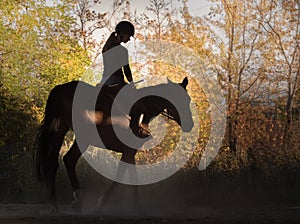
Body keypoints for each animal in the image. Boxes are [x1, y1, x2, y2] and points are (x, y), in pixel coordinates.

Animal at [35, 77, 193, 214]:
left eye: (188, 99)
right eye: (178, 99)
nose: (189, 124)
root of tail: (61, 89)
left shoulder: (130, 152)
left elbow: (134, 178)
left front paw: (138, 207)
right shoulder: (128, 152)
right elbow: (119, 178)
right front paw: (99, 205)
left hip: (60, 130)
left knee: (54, 163)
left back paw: (59, 204)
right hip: (82, 137)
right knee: (68, 160)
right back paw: (74, 201)